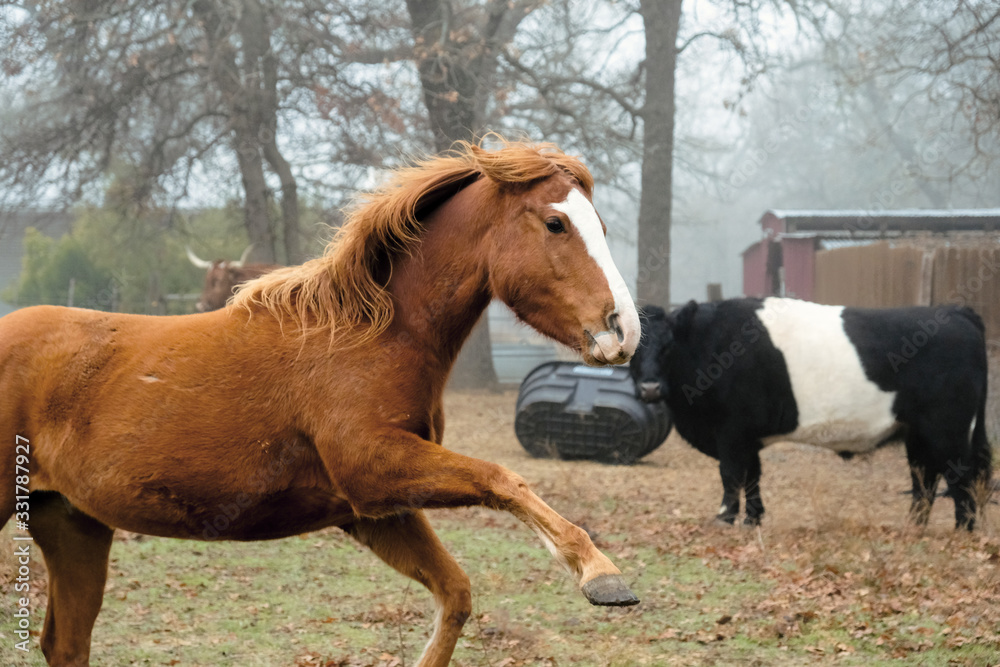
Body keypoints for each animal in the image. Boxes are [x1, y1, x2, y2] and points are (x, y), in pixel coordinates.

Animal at [0, 139, 642, 667]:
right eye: (556, 222)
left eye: (603, 224)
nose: (624, 332)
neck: (371, 334)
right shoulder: (374, 469)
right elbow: (502, 478)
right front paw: (601, 575)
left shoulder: (372, 510)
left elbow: (455, 594)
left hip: (73, 524)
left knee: (66, 643)